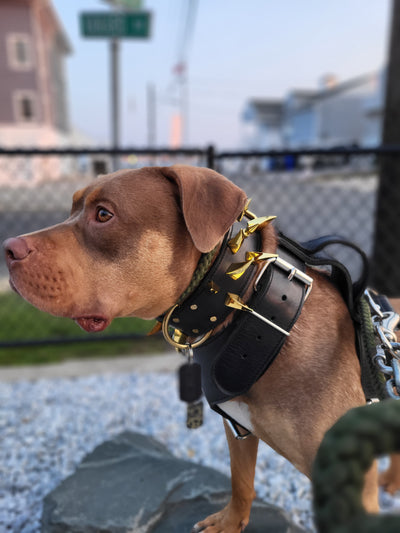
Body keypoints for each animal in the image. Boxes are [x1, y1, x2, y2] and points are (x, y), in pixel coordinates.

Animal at [3, 165, 400, 528]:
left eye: (103, 214)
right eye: (72, 208)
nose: (8, 248)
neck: (250, 301)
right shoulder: (238, 426)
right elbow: (241, 481)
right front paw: (230, 522)